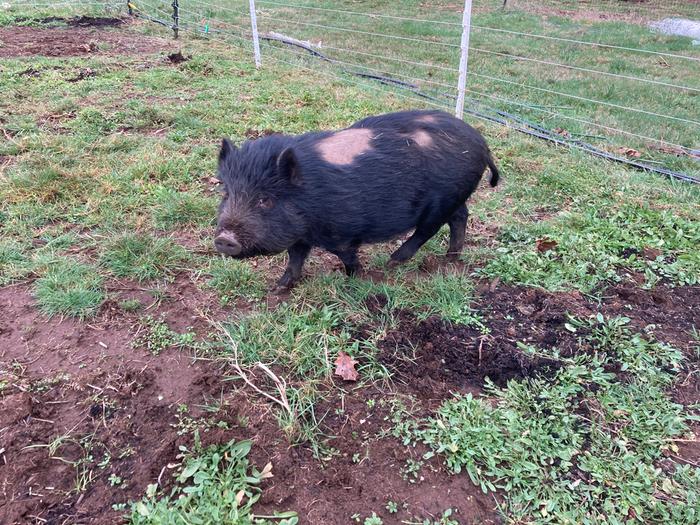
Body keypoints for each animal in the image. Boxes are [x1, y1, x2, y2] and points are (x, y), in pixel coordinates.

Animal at [213, 110, 498, 288]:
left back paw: (392, 262)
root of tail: (482, 143)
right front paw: (278, 288)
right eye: (227, 193)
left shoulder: (343, 233)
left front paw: (354, 279)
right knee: (460, 217)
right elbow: (295, 258)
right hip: (455, 197)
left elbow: (346, 256)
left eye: (265, 200)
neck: (310, 197)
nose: (224, 238)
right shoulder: (300, 233)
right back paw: (450, 258)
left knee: (428, 229)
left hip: (442, 200)